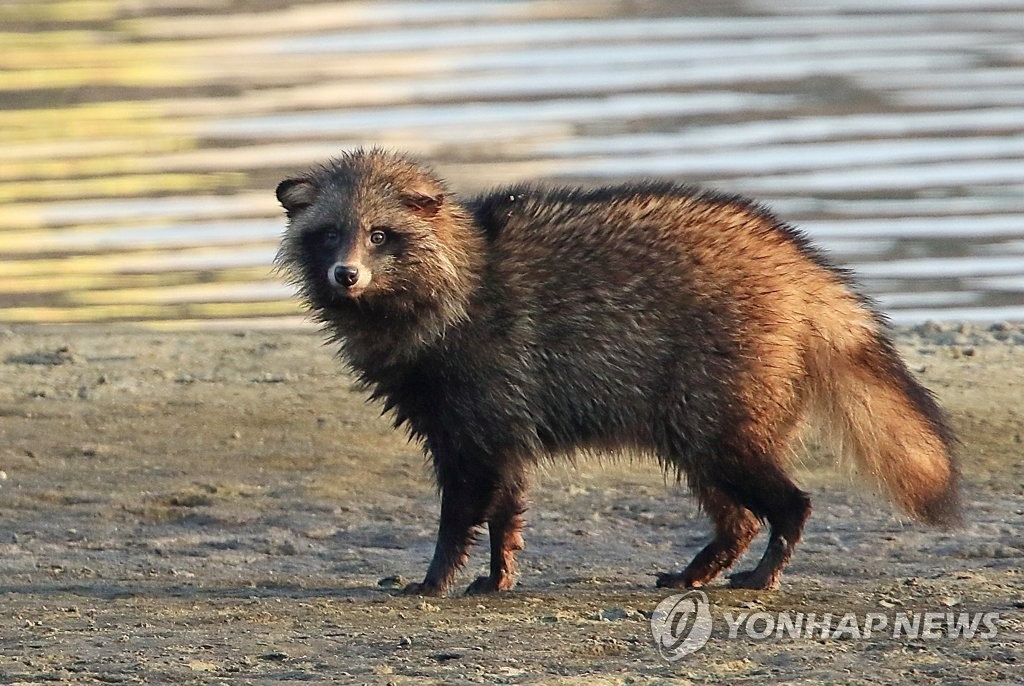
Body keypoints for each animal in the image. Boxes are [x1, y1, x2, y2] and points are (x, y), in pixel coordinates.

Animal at [274, 149, 958, 597]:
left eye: (381, 235)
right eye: (329, 234)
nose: (346, 275)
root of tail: (795, 260)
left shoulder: (480, 393)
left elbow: (467, 500)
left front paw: (438, 574)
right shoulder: (494, 412)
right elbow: (507, 500)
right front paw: (498, 571)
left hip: (720, 391)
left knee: (781, 496)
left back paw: (769, 558)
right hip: (711, 410)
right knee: (733, 508)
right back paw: (704, 562)